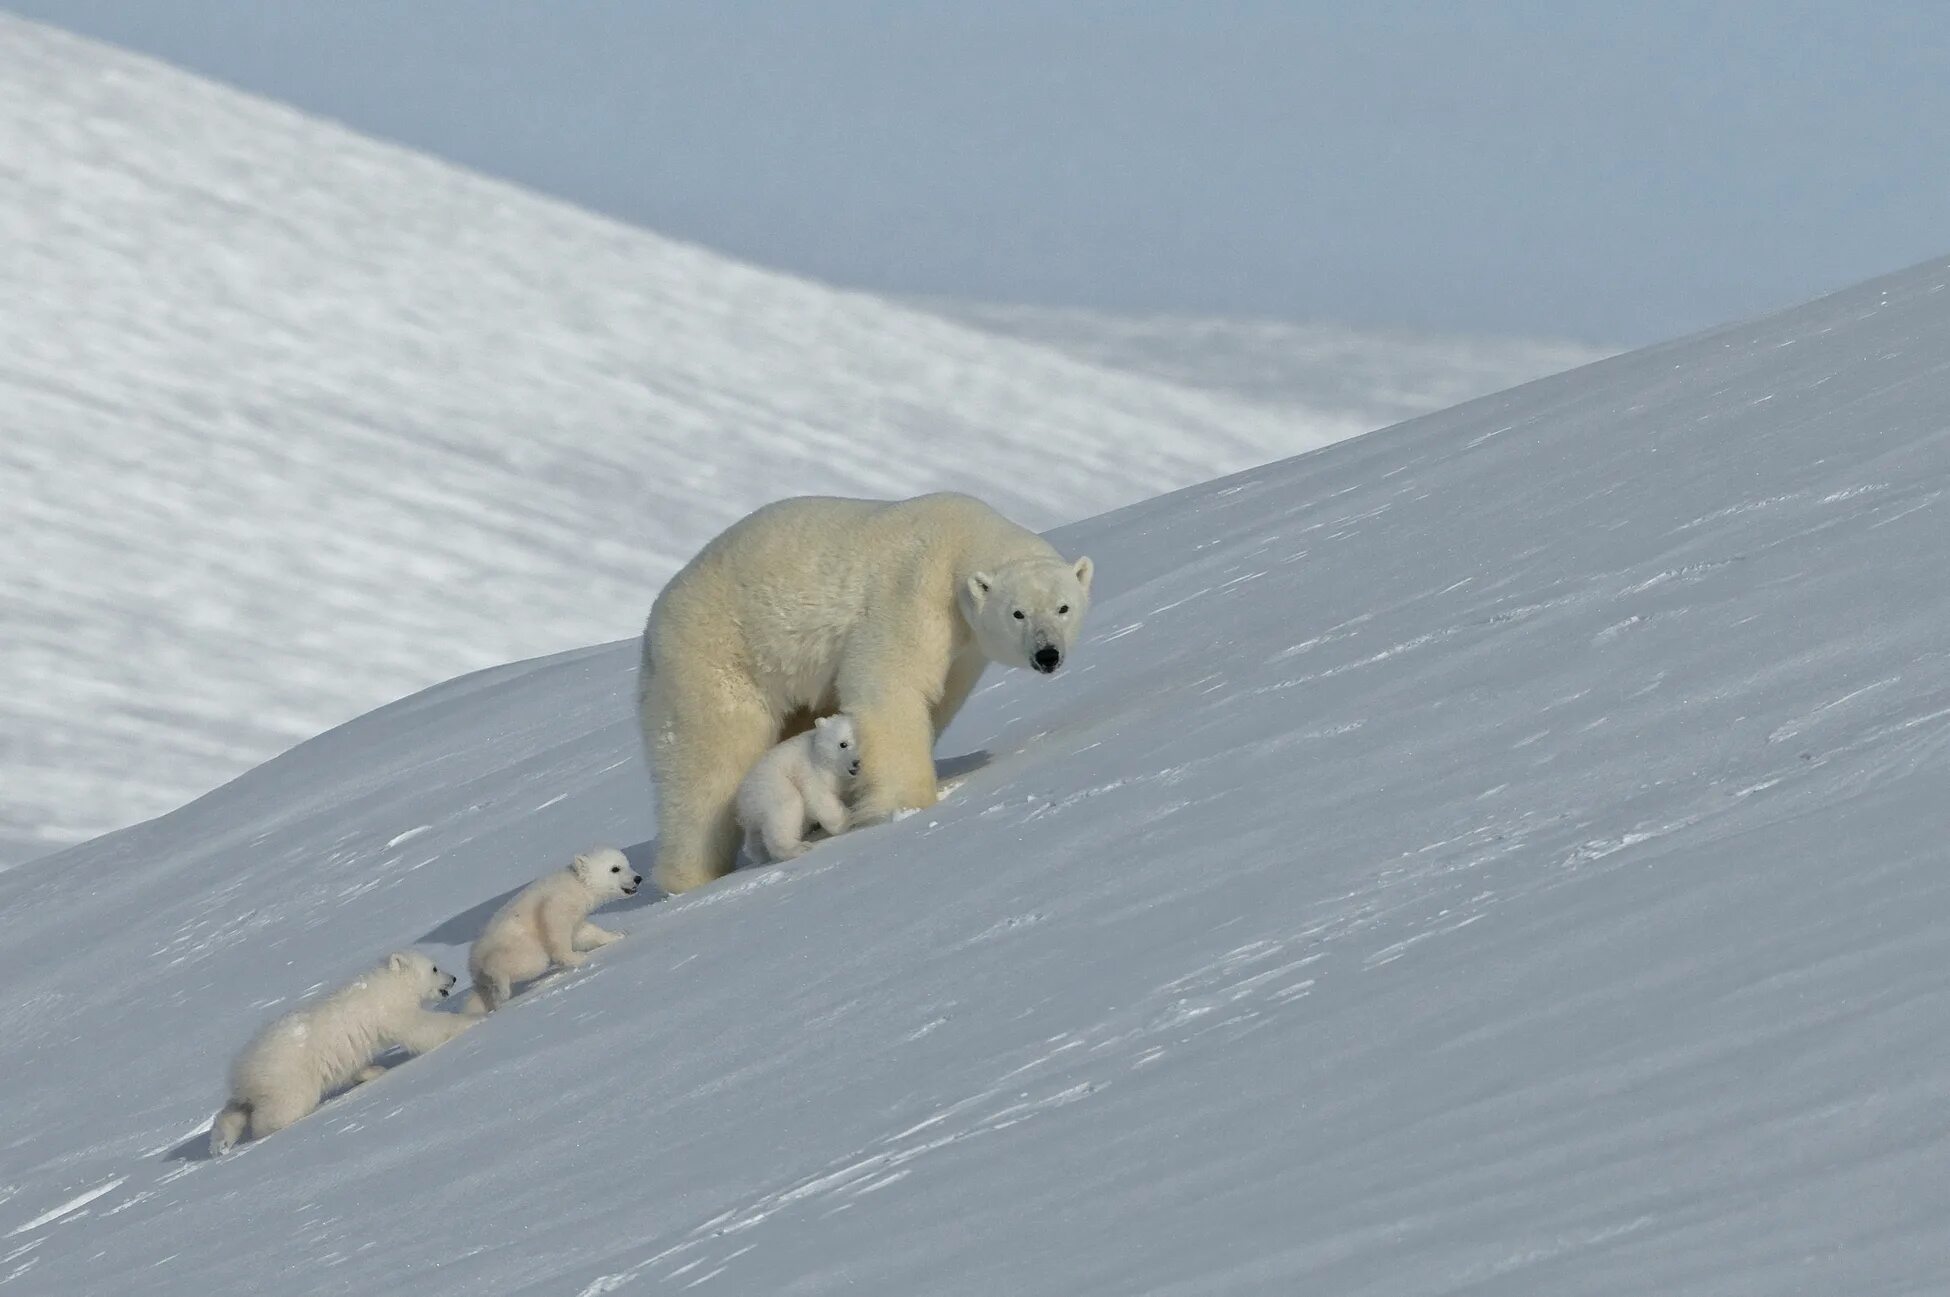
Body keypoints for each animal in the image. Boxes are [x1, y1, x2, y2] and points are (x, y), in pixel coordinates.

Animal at [207, 940, 466, 1154]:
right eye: (434, 968)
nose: (454, 978)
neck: (391, 984)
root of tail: (242, 1069)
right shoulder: (390, 1011)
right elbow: (419, 1028)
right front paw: (465, 1021)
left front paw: (374, 1071)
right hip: (289, 1078)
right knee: (280, 1109)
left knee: (235, 1108)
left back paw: (221, 1142)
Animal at [462, 846, 639, 1014]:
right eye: (615, 868)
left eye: (627, 863)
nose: (638, 878)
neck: (578, 883)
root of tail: (473, 964)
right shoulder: (558, 900)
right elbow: (555, 924)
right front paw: (576, 957)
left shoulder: (576, 914)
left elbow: (584, 932)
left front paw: (618, 934)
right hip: (518, 946)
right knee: (528, 962)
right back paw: (501, 988)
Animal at [737, 709, 861, 858]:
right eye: (843, 744)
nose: (856, 763)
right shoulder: (813, 770)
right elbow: (818, 797)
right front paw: (848, 822)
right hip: (772, 785)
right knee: (787, 807)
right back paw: (797, 848)